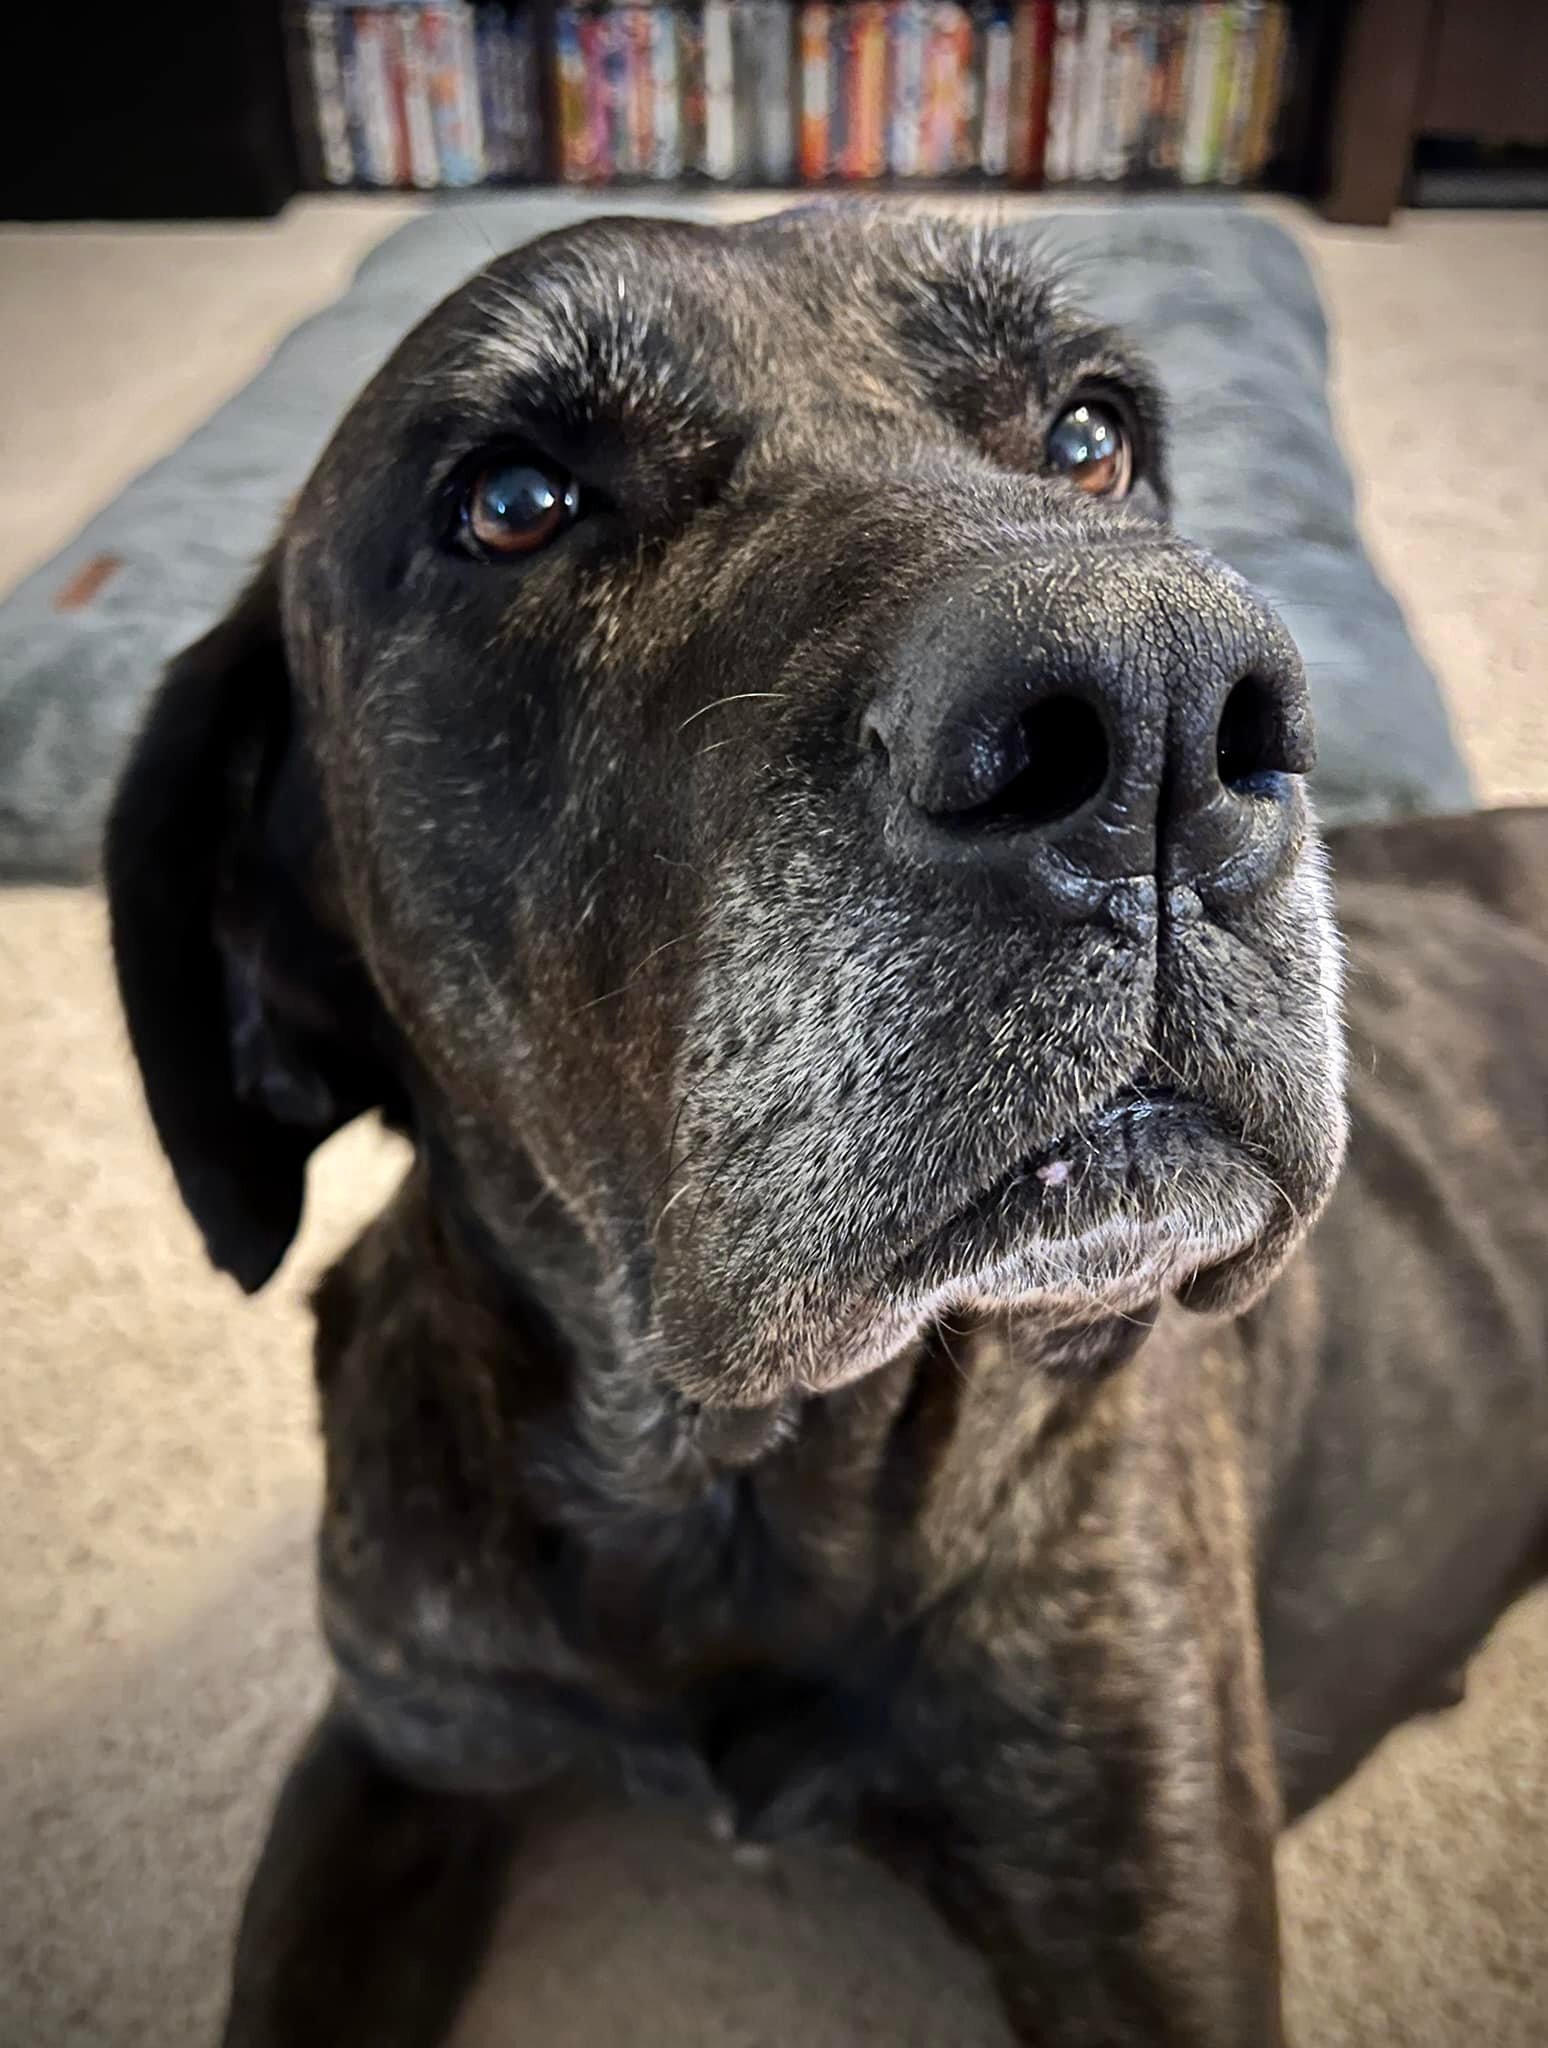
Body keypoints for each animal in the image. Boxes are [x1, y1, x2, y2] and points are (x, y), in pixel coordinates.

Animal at [102, 211, 1548, 2048]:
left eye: (1090, 435)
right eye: (513, 501)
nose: (1160, 706)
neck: (729, 1484)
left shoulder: (1147, 1910)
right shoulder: (391, 1749)